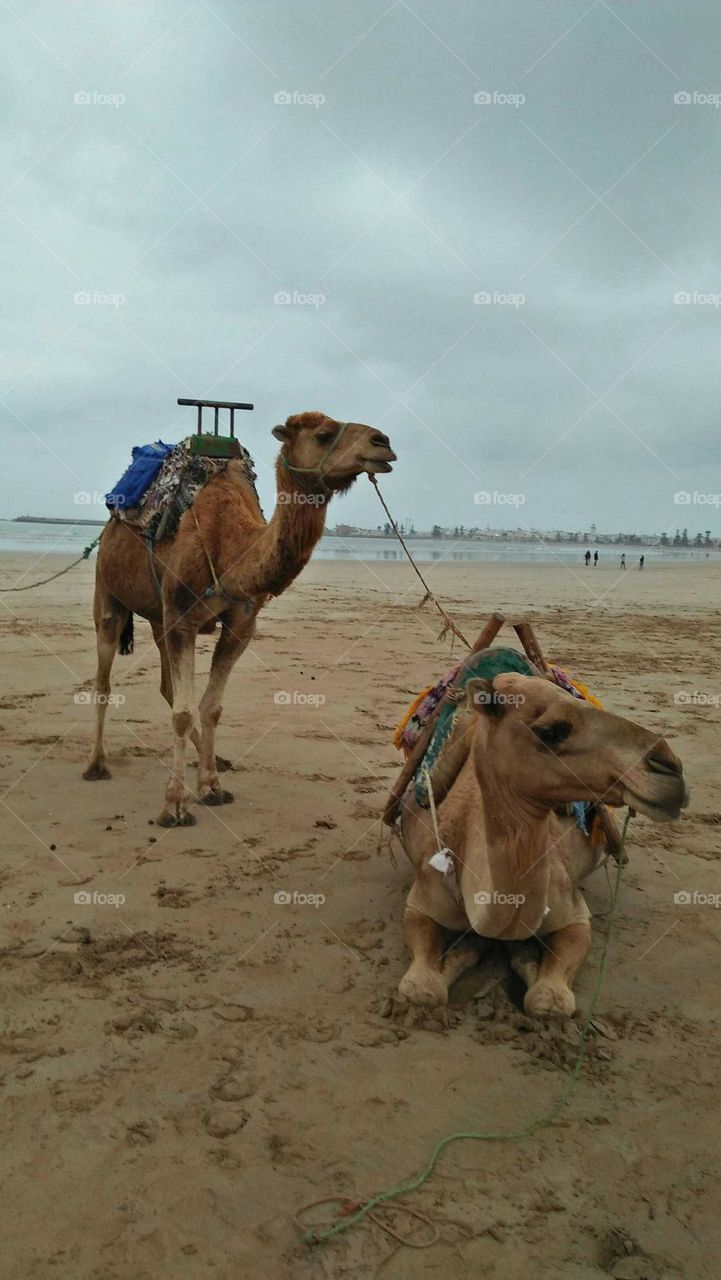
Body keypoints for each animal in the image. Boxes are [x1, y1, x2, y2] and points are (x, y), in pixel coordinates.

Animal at [85, 414, 399, 824]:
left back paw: (214, 759)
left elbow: (210, 707)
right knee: (104, 679)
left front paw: (211, 786)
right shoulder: (182, 618)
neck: (230, 549)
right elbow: (184, 713)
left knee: (167, 686)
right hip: (108, 592)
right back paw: (96, 764)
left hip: (157, 616)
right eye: (322, 434)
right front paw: (174, 805)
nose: (383, 442)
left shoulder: (239, 626)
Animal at [399, 670, 686, 1018]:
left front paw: (522, 954)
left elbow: (549, 1001)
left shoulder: (575, 915)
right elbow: (422, 990)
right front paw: (472, 948)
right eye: (552, 731)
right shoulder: (421, 901)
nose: (670, 767)